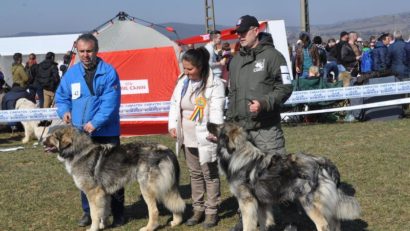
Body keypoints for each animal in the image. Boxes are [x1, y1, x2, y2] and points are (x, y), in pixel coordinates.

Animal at [43, 126, 184, 231]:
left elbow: (94, 214)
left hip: (147, 188)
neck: (78, 151)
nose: (42, 141)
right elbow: (103, 212)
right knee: (175, 203)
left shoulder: (93, 193)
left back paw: (149, 228)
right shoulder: (103, 194)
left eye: (54, 136)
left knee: (154, 211)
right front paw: (103, 225)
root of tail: (166, 150)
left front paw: (93, 228)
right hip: (166, 186)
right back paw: (176, 222)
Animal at [207, 122, 360, 230]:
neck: (237, 154)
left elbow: (248, 225)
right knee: (336, 223)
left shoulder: (247, 202)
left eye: (219, 126)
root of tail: (321, 162)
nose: (207, 122)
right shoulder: (262, 203)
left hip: (309, 203)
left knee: (323, 225)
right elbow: (264, 224)